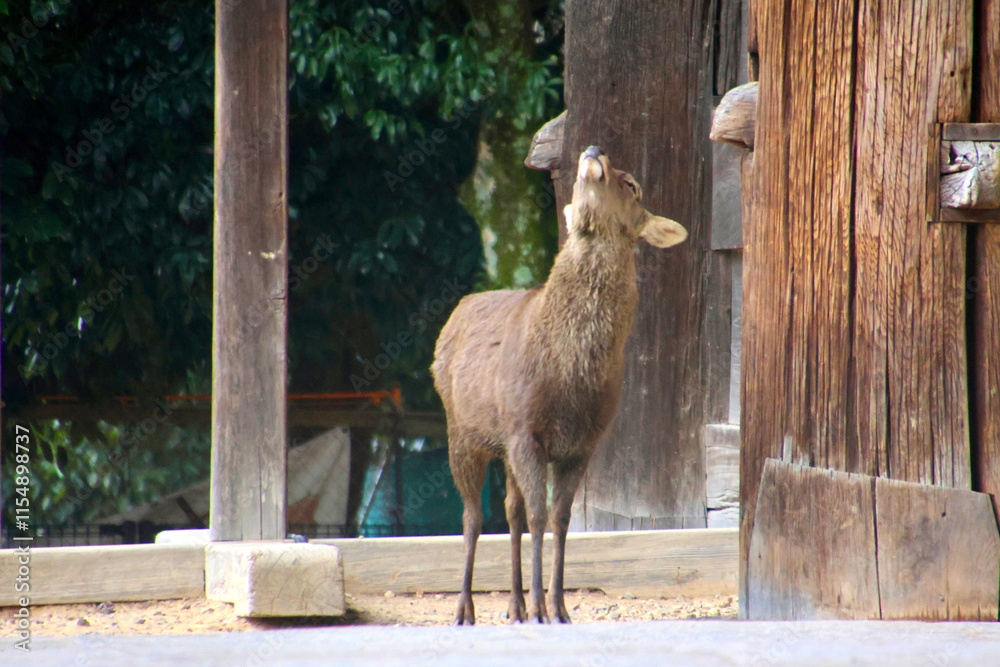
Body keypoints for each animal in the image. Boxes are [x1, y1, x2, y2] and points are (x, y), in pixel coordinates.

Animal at [431, 146, 688, 625]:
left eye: (632, 185)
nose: (593, 149)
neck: (571, 375)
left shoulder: (583, 444)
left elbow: (560, 518)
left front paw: (559, 607)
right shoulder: (525, 431)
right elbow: (538, 515)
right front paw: (540, 608)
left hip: (501, 445)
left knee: (509, 511)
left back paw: (512, 606)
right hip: (461, 430)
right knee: (472, 518)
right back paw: (465, 609)